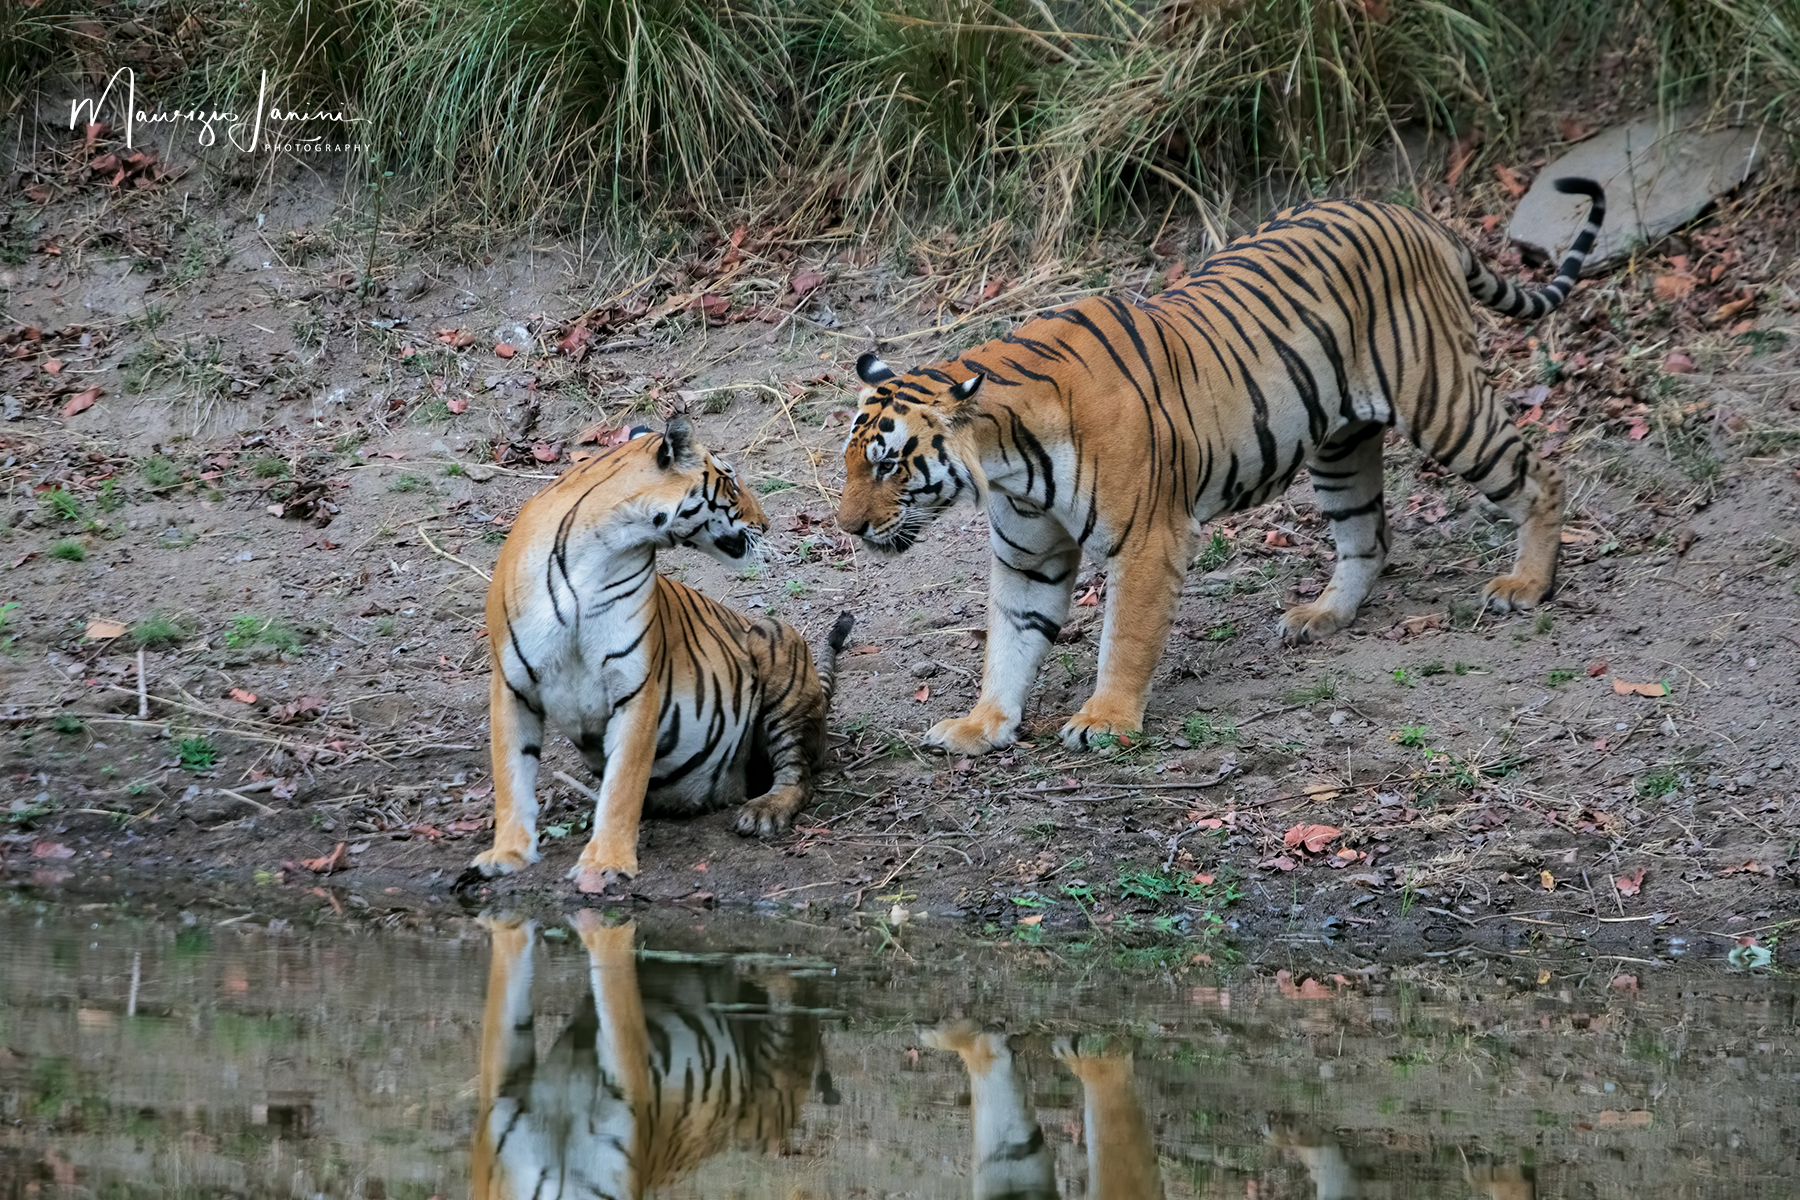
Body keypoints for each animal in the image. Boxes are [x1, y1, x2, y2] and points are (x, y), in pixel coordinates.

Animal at [471, 417, 849, 895]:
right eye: (731, 481)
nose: (767, 525)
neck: (601, 549)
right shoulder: (512, 687)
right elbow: (511, 777)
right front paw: (507, 855)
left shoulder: (635, 687)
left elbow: (623, 785)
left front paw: (605, 863)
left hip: (778, 649)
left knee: (798, 776)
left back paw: (764, 811)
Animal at [835, 176, 1612, 759]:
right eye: (850, 464)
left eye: (887, 466)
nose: (845, 529)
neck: (1007, 460)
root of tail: (1414, 215)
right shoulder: (1028, 556)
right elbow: (1009, 640)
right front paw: (981, 725)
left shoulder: (1148, 540)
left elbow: (1125, 638)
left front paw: (1104, 722)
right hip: (1339, 447)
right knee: (1369, 538)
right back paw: (1321, 616)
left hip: (1444, 404)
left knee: (1540, 474)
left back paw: (1526, 585)